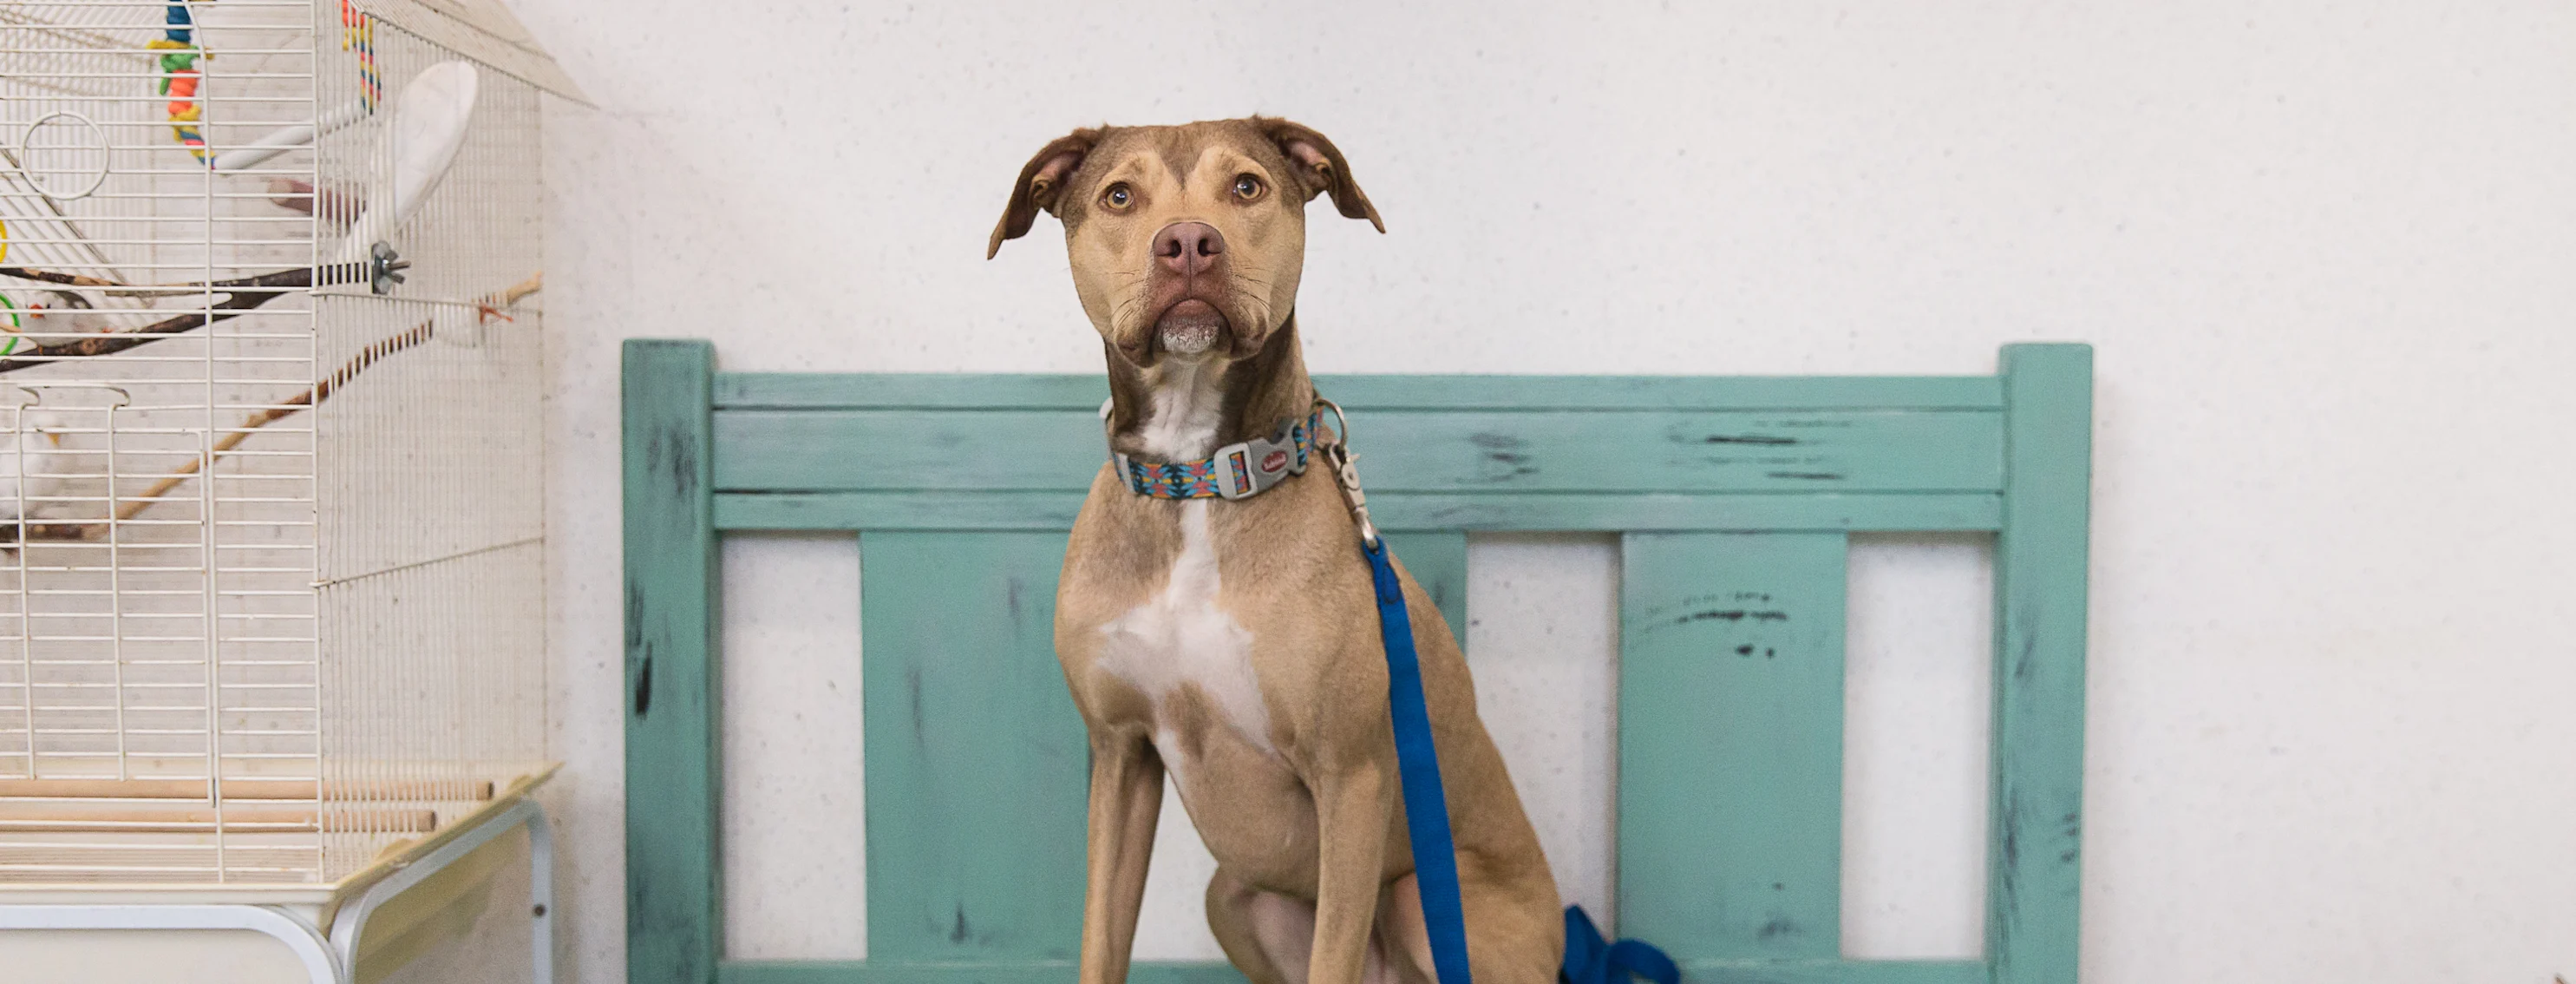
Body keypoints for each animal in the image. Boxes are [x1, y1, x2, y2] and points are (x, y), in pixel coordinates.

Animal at [984, 121, 1555, 984]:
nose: (1188, 242)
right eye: (1119, 195)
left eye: (1247, 186)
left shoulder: (1350, 779)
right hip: (1231, 896)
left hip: (1424, 901)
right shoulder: (1120, 756)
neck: (1198, 480)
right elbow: (1101, 941)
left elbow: (1332, 956)